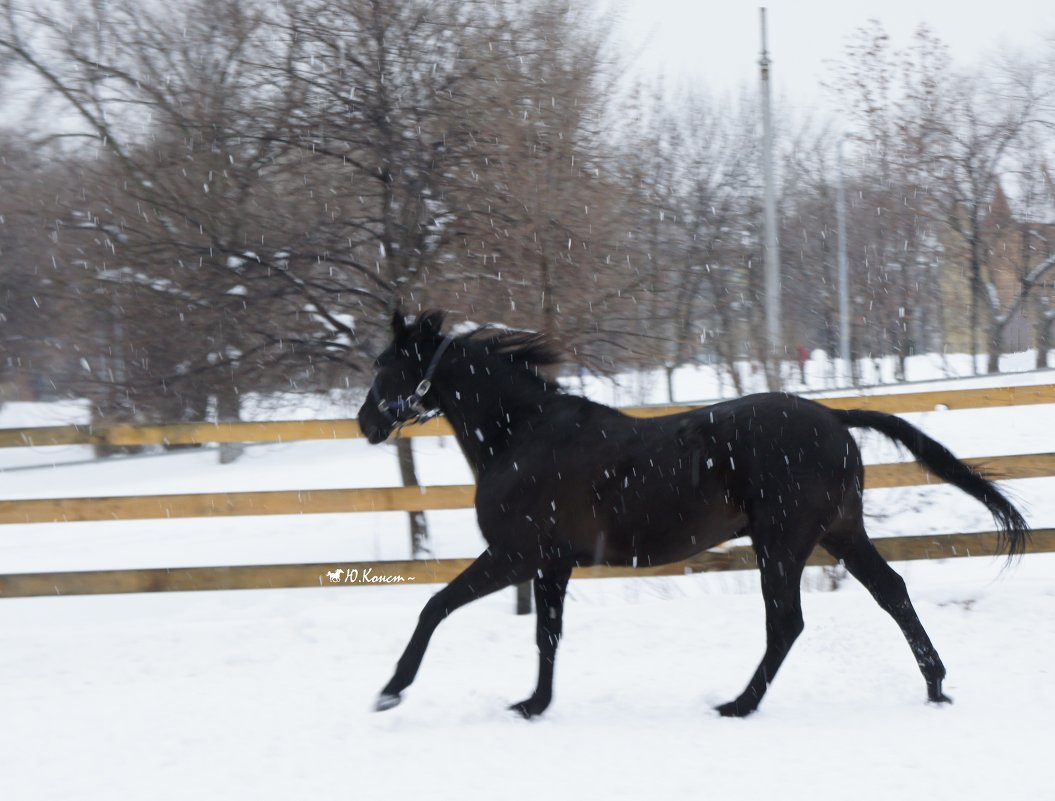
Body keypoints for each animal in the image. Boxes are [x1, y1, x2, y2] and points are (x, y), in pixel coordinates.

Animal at [358, 310, 1025, 717]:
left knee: (787, 623)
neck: (522, 434)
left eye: (385, 364)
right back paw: (935, 685)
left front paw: (390, 691)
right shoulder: (551, 565)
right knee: (891, 592)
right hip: (838, 532)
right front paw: (533, 704)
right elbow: (546, 634)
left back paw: (739, 703)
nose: (366, 422)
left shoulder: (515, 555)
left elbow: (435, 606)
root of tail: (833, 418)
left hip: (782, 542)